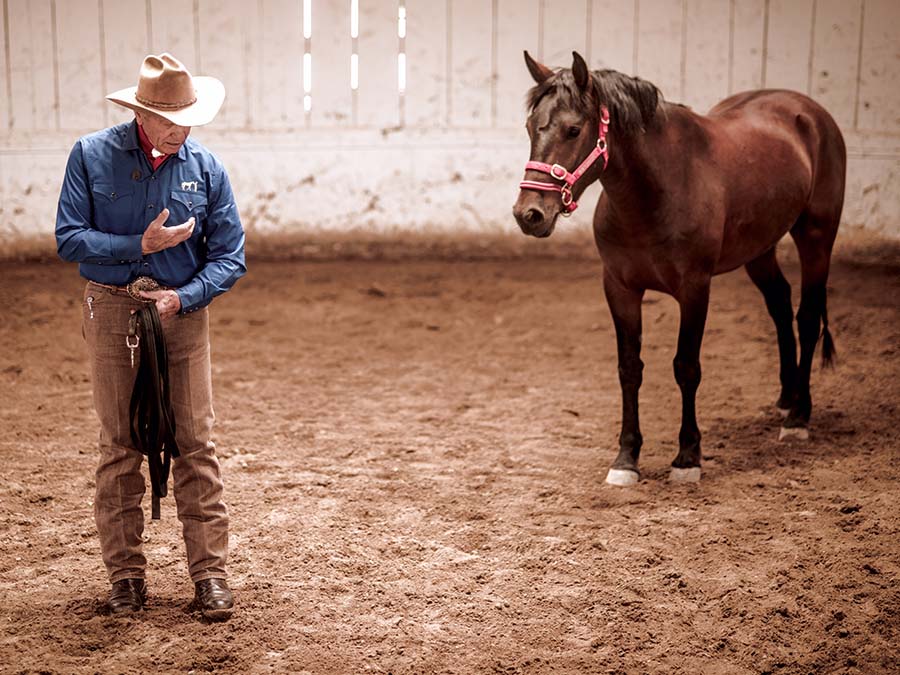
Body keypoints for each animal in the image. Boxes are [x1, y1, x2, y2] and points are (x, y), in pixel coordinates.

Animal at [512, 52, 844, 486]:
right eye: (530, 127)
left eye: (573, 129)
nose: (529, 214)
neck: (656, 192)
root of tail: (811, 112)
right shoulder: (619, 288)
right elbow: (629, 369)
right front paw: (626, 458)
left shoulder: (694, 290)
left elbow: (686, 367)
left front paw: (688, 457)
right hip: (760, 249)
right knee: (779, 305)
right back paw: (788, 399)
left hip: (816, 237)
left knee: (806, 317)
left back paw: (799, 417)